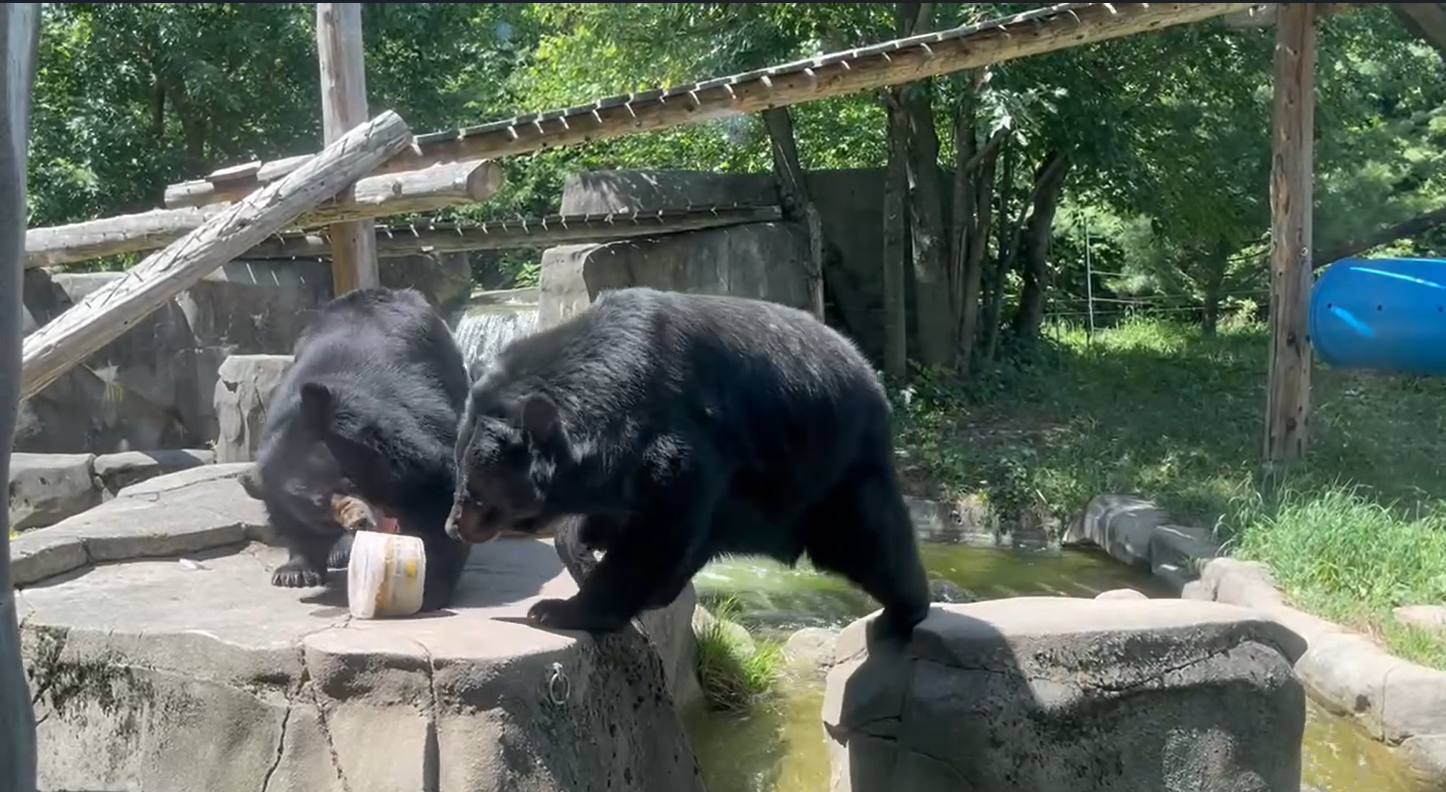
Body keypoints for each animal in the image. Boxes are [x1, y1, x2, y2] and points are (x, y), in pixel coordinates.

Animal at [250, 286, 472, 611]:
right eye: (319, 509)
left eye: (349, 481)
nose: (360, 521)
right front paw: (294, 573)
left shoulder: (415, 437)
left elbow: (441, 494)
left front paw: (433, 586)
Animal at [445, 286, 932, 641]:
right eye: (462, 477)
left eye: (474, 489)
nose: (453, 525)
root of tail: (868, 371)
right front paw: (581, 544)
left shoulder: (681, 449)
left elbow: (652, 538)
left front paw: (556, 609)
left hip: (827, 471)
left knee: (871, 541)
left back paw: (901, 613)